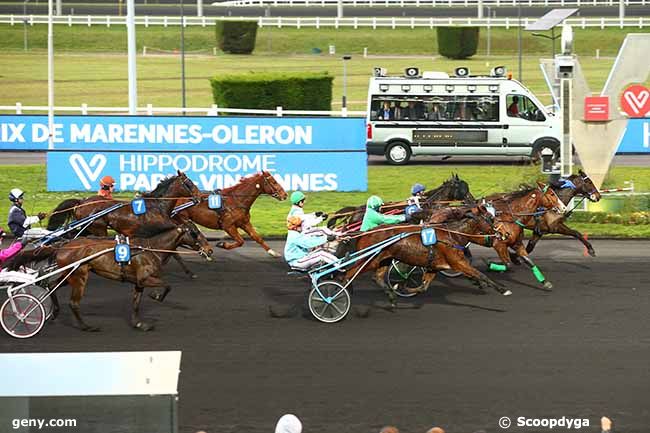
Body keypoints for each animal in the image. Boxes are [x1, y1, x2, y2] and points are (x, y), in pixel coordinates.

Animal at [6, 221, 213, 332]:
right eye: (194, 233)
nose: (210, 249)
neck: (149, 248)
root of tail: (64, 244)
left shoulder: (138, 283)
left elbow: (136, 303)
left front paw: (139, 323)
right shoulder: (144, 279)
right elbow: (168, 285)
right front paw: (156, 296)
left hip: (68, 273)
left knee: (51, 286)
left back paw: (54, 312)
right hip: (79, 276)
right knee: (73, 302)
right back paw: (86, 326)